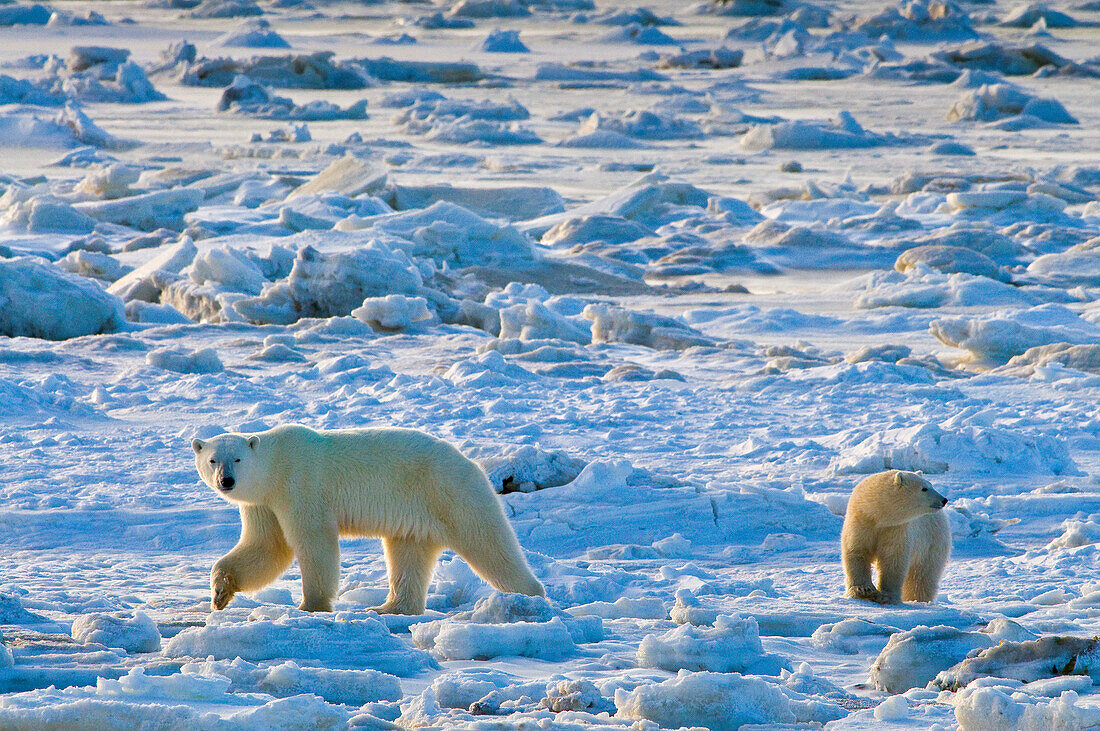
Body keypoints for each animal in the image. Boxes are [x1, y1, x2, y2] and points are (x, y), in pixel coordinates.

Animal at [195, 424, 547, 611]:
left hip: (449, 493)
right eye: (213, 459)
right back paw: (389, 607)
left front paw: (311, 605)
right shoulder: (263, 503)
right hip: (416, 516)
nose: (227, 481)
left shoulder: (299, 485)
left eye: (237, 459)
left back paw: (530, 597)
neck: (276, 465)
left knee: (489, 545)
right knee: (408, 556)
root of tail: (471, 463)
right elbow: (265, 547)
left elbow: (313, 542)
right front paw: (220, 593)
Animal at [844, 468, 950, 602]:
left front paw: (886, 596)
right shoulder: (861, 521)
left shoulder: (896, 528)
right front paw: (862, 590)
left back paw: (917, 599)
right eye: (924, 488)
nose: (944, 500)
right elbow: (857, 551)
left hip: (931, 544)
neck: (877, 516)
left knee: (922, 577)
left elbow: (893, 558)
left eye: (930, 484)